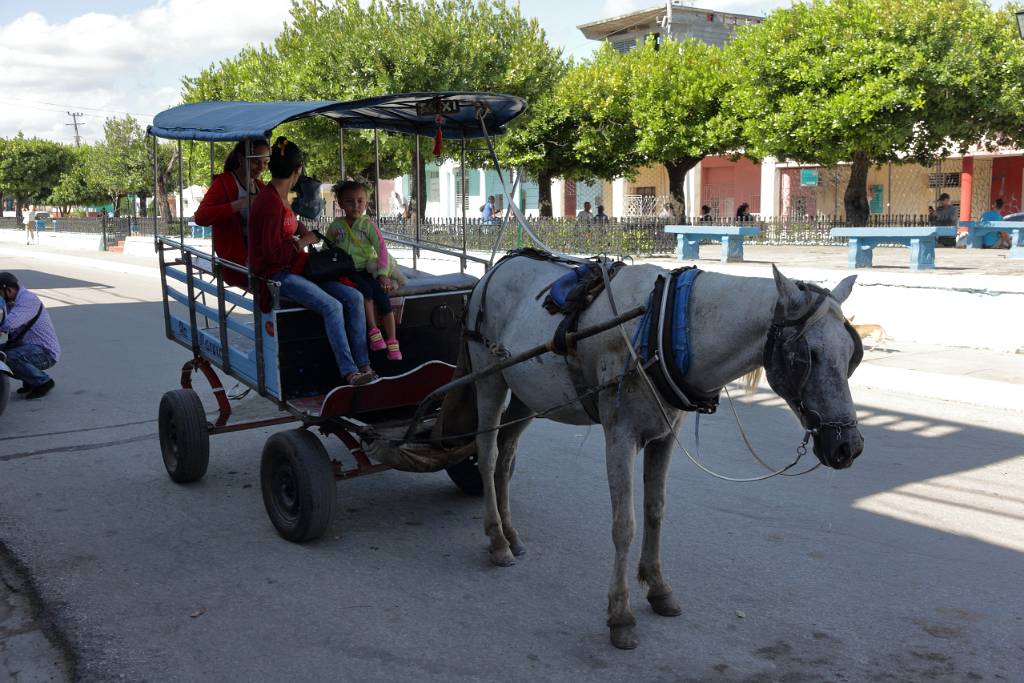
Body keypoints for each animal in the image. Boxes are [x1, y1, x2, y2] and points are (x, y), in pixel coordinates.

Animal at [450, 253, 864, 651]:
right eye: (805, 356)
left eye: (851, 356)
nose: (848, 446)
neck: (667, 328)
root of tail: (495, 269)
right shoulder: (620, 436)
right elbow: (624, 525)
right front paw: (620, 616)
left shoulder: (665, 436)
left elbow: (655, 510)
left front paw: (658, 587)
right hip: (490, 379)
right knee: (488, 454)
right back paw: (497, 540)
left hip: (528, 396)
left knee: (506, 455)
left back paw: (511, 533)